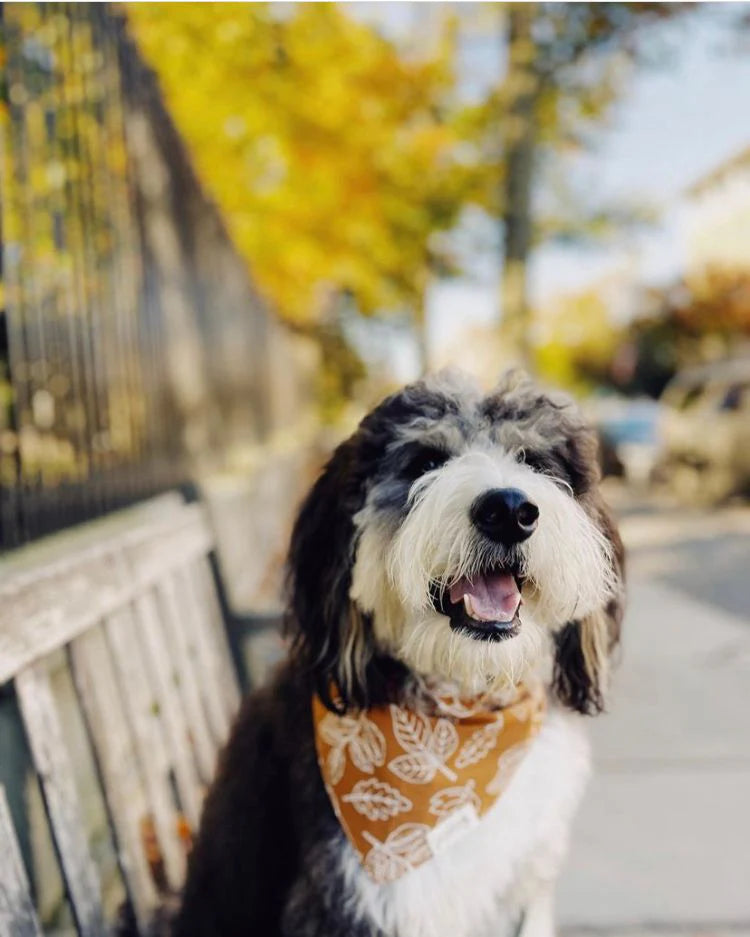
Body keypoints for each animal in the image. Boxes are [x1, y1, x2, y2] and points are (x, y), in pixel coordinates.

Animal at [175, 370, 624, 936]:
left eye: (534, 460)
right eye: (424, 462)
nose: (509, 511)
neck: (461, 712)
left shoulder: (527, 884)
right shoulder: (351, 902)